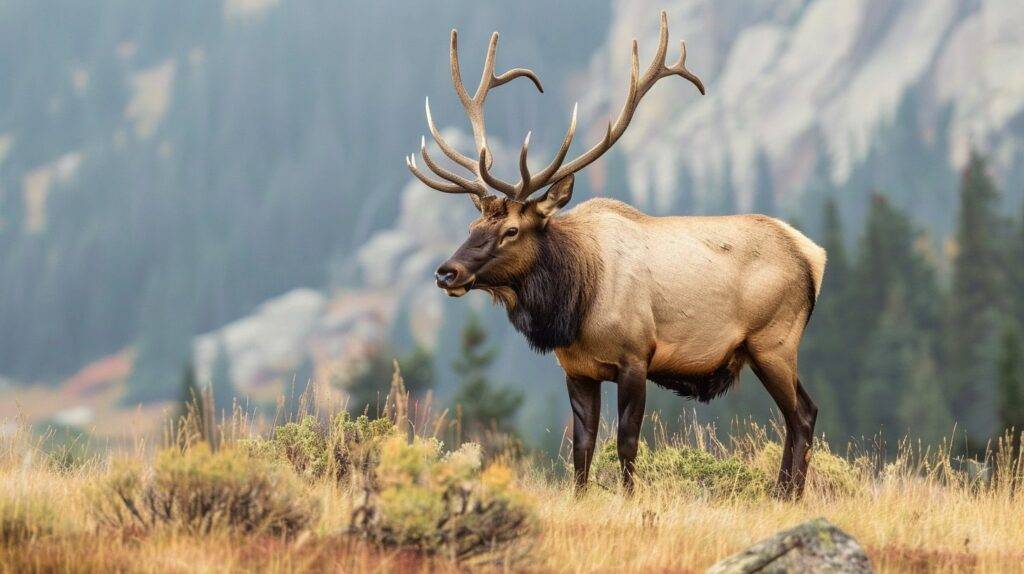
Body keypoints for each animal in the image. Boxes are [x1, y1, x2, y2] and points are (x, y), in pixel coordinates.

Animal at [406, 12, 826, 498]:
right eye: (473, 228)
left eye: (511, 230)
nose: (446, 273)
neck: (574, 302)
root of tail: (813, 255)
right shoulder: (577, 369)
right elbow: (582, 447)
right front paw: (581, 495)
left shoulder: (636, 355)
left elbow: (626, 442)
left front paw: (629, 498)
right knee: (799, 415)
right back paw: (783, 492)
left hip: (773, 339)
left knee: (801, 415)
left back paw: (789, 495)